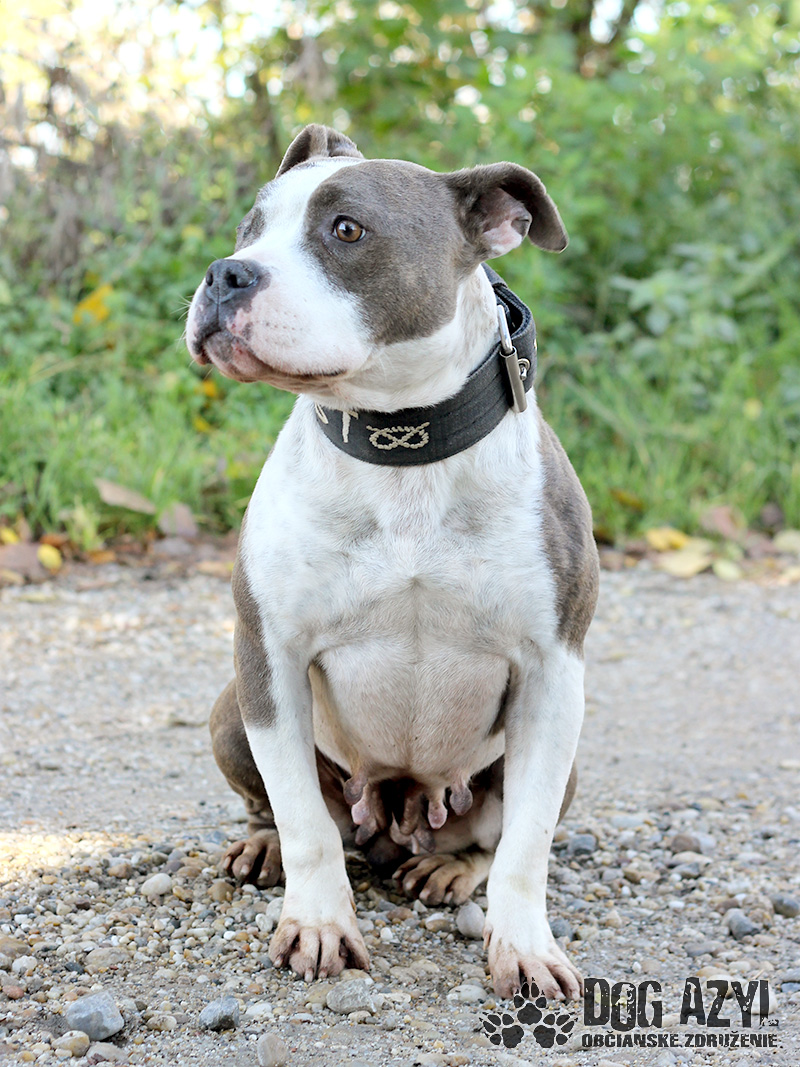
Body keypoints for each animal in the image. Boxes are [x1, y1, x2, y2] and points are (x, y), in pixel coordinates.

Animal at [185, 124, 598, 1000]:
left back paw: (451, 868)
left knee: (489, 833)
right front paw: (318, 923)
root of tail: (397, 823)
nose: (226, 272)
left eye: (347, 231)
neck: (402, 444)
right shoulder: (268, 656)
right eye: (250, 227)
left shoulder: (554, 675)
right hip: (231, 709)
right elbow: (304, 818)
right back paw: (267, 847)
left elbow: (526, 845)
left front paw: (524, 945)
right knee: (296, 812)